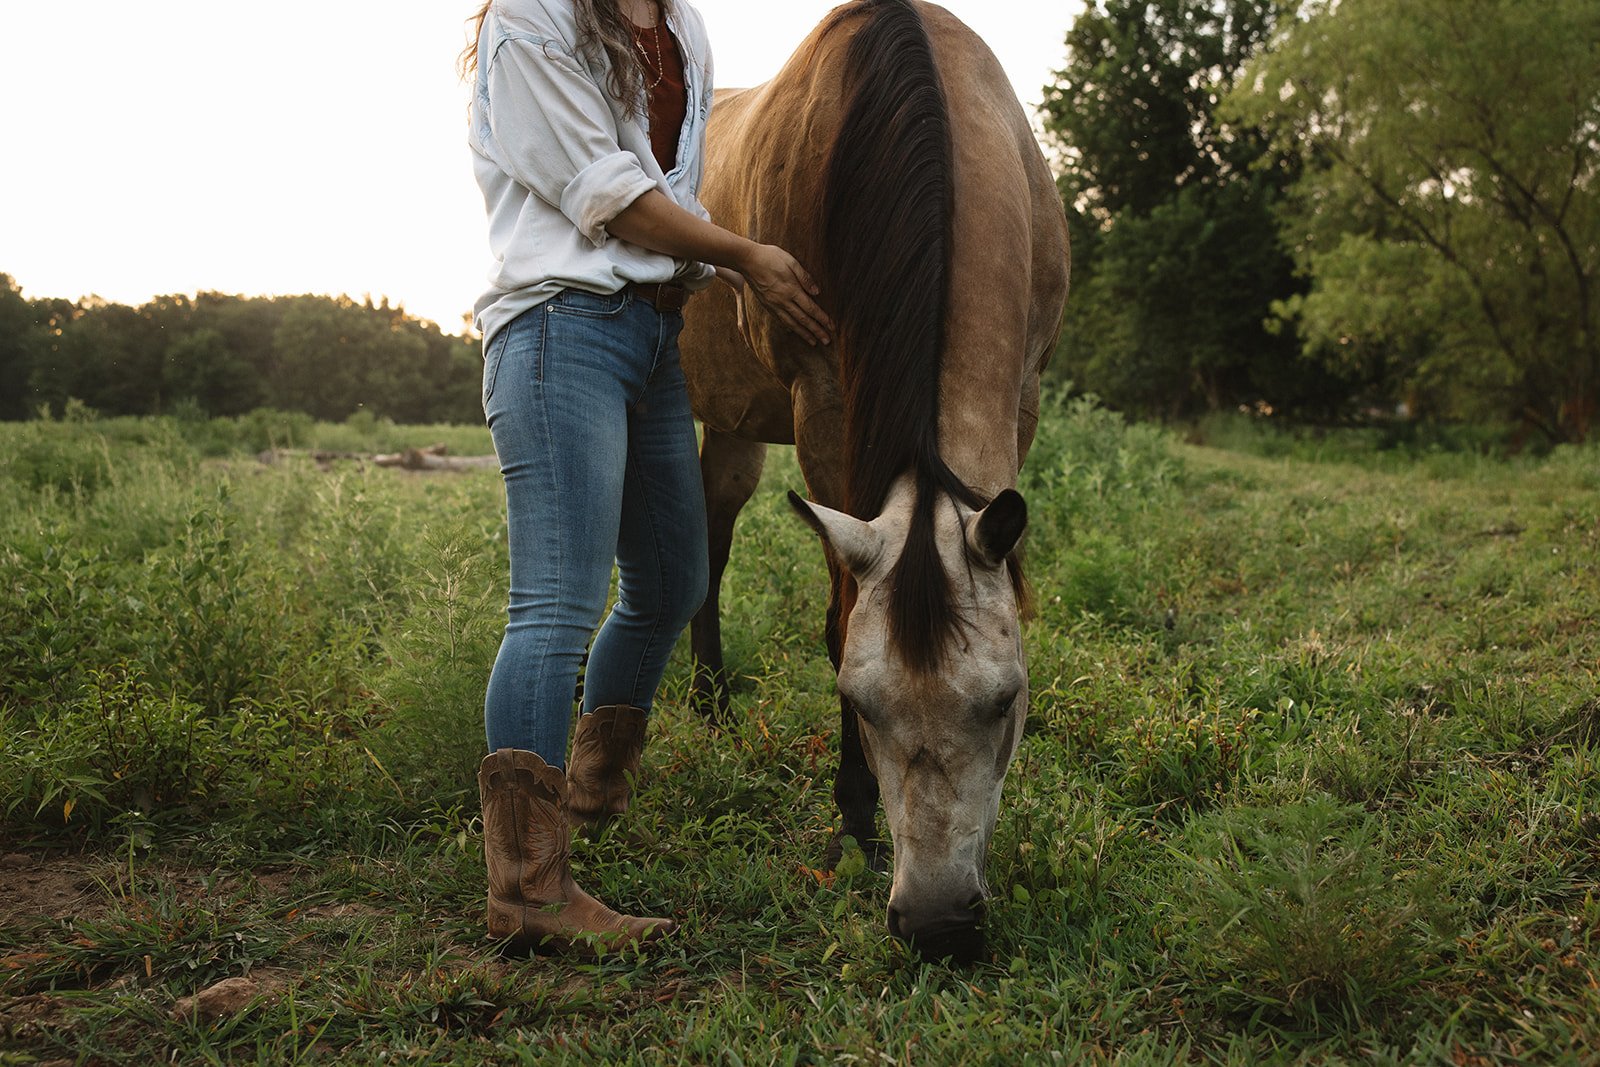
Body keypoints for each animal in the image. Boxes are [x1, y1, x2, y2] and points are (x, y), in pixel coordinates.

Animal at [678, 0, 1069, 962]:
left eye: (1006, 700)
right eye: (859, 703)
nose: (936, 923)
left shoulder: (1027, 392)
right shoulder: (822, 398)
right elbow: (841, 615)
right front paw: (855, 812)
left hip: (735, 424)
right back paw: (702, 705)